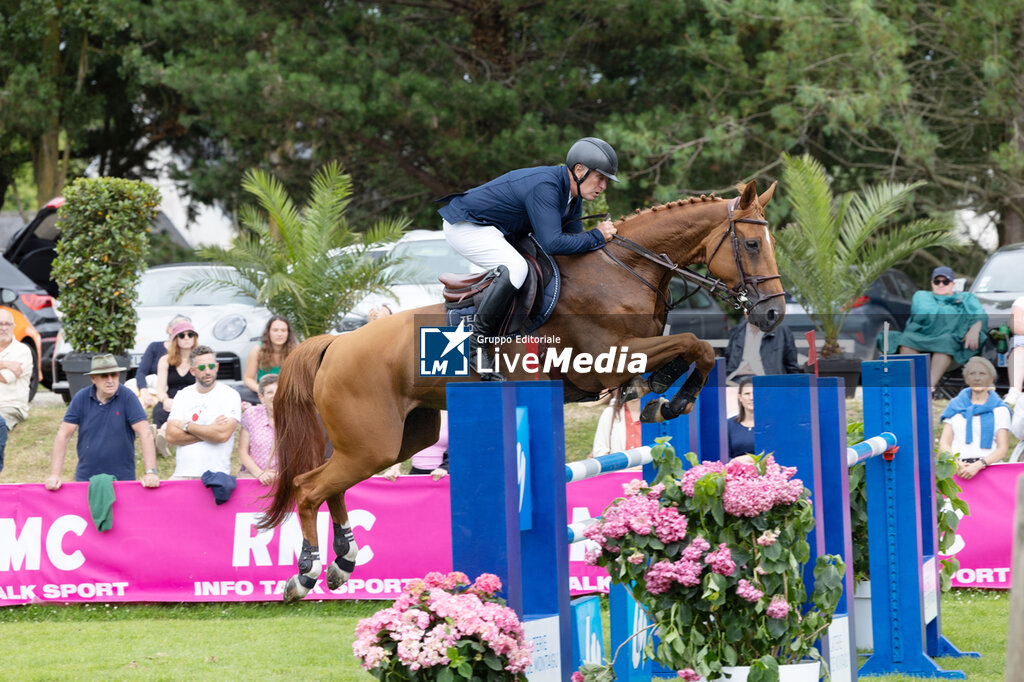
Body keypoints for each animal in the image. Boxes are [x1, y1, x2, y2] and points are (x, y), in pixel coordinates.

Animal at [258, 178, 782, 598]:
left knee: (334, 485)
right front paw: (671, 400)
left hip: (402, 438)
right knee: (308, 488)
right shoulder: (606, 361)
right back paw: (305, 574)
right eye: (752, 243)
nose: (773, 313)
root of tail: (335, 343)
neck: (627, 267)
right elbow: (696, 344)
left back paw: (343, 563)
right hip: (372, 442)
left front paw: (660, 396)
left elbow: (695, 350)